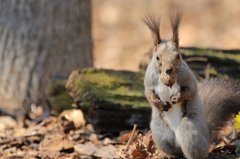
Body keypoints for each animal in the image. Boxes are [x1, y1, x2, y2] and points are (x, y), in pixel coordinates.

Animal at [143, 12, 240, 159]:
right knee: (174, 149)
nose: (169, 69)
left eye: (178, 55)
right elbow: (149, 96)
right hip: (160, 133)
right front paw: (160, 104)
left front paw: (177, 98)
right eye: (157, 57)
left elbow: (191, 90)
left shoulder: (188, 78)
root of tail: (207, 138)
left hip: (188, 130)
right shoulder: (149, 81)